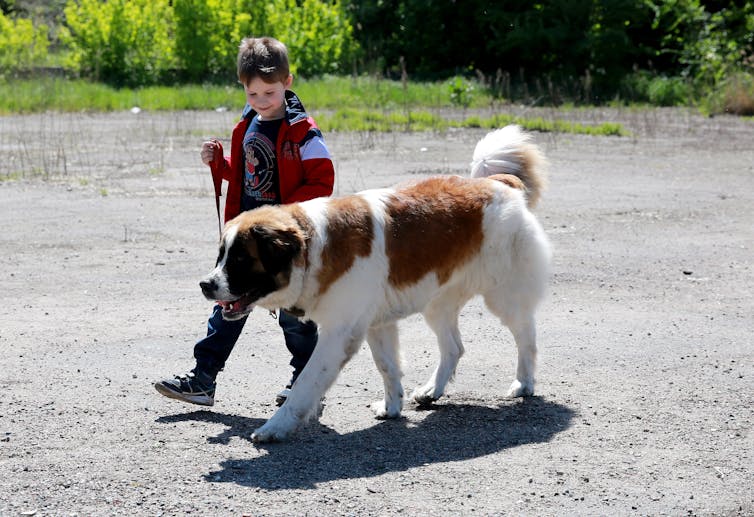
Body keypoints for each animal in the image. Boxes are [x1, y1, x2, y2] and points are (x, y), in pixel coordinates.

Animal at [200, 124, 548, 440]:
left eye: (241, 259)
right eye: (221, 255)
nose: (206, 285)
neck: (313, 247)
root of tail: (498, 183)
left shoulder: (338, 334)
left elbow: (305, 383)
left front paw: (276, 427)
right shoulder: (375, 324)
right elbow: (387, 366)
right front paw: (392, 407)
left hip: (504, 296)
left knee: (526, 336)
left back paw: (524, 383)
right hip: (438, 302)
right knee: (454, 347)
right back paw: (431, 391)